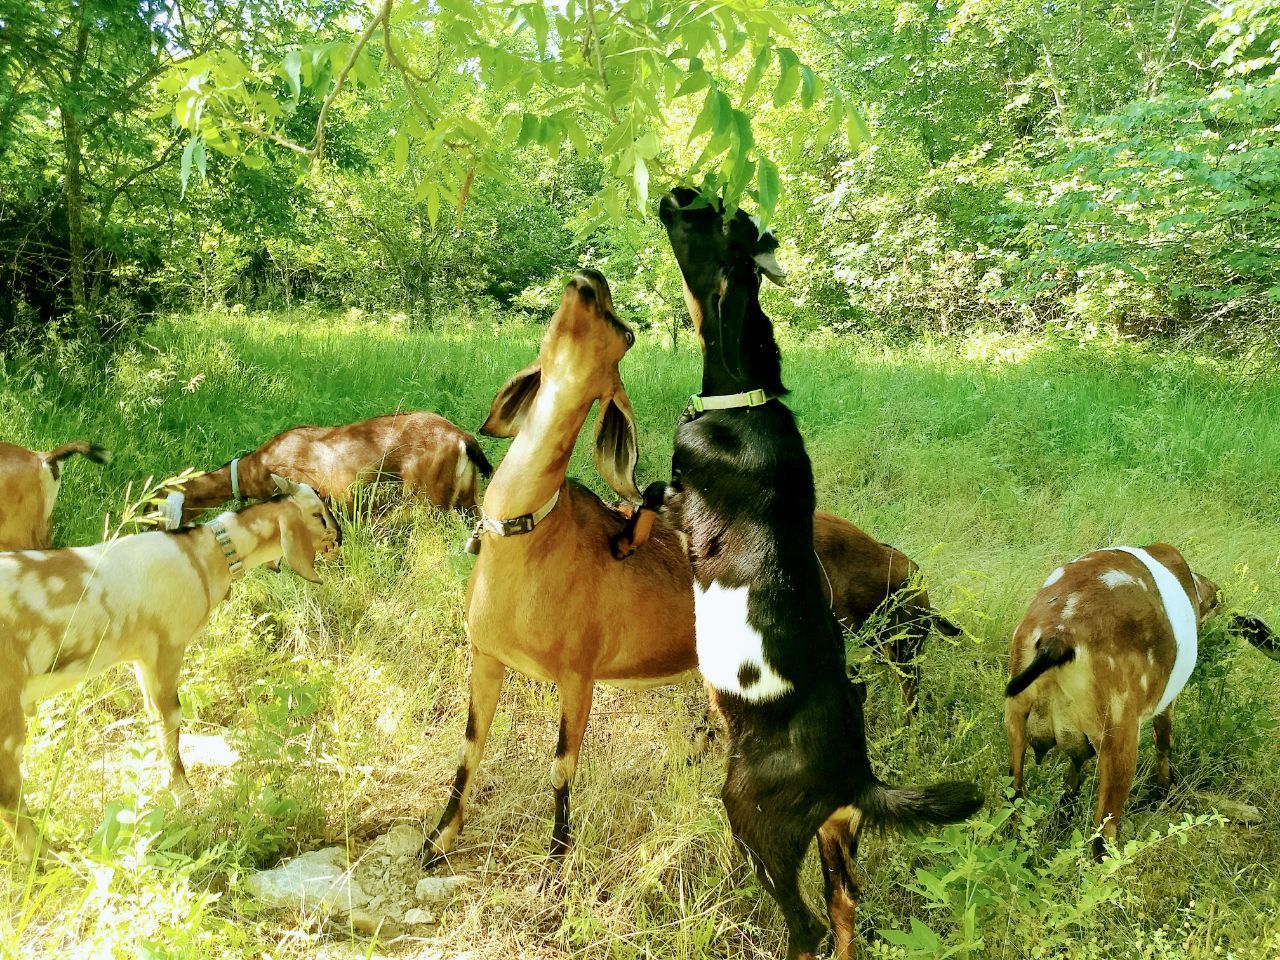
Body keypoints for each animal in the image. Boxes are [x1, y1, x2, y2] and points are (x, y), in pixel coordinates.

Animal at [0, 476, 339, 862]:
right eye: (318, 515)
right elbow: (170, 719)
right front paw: (185, 796)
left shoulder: (140, 656)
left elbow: (152, 716)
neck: (201, 555)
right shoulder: (167, 647)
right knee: (9, 791)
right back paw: (45, 858)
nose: (340, 538)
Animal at [419, 272, 961, 870]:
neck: (527, 536)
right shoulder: (486, 656)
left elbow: (561, 767)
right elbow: (469, 750)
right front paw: (436, 842)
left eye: (625, 332)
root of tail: (901, 563)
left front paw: (557, 859)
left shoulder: (577, 674)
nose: (590, 281)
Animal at [617, 189, 982, 960]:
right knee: (845, 908)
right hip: (836, 836)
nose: (677, 193)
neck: (746, 404)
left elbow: (637, 489)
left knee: (806, 923)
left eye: (708, 223)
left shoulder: (678, 498)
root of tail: (856, 777)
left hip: (756, 820)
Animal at [1005, 544, 1275, 859]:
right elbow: (1164, 743)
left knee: (1014, 798)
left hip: (1015, 722)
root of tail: (1058, 637)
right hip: (1119, 739)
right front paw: (1166, 790)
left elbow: (1073, 771)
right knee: (1102, 835)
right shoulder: (1165, 704)